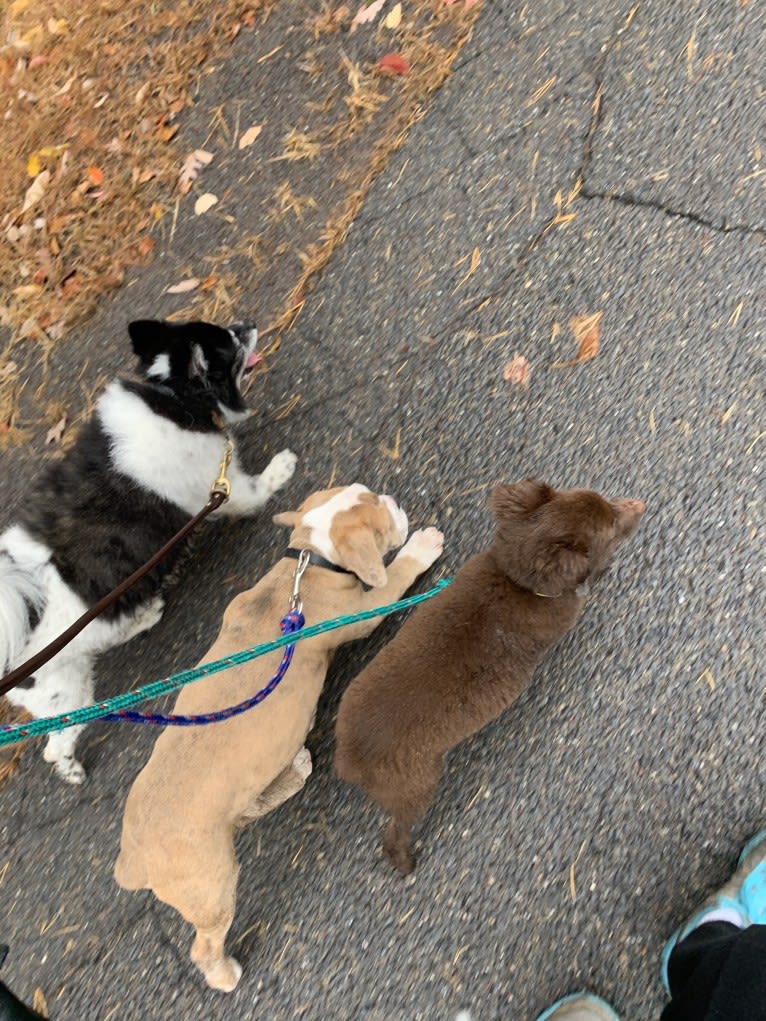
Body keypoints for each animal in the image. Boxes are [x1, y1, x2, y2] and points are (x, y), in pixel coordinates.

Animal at [0, 318, 298, 780]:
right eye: (228, 343)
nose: (247, 324)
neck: (171, 398)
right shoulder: (220, 486)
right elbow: (254, 491)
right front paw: (280, 470)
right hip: (66, 694)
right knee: (56, 743)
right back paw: (70, 768)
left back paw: (146, 615)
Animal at [116, 481, 447, 992]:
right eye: (378, 517)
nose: (393, 500)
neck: (309, 561)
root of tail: (133, 858)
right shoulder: (366, 608)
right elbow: (398, 574)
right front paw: (422, 546)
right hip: (211, 884)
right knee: (204, 945)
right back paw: (225, 976)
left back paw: (297, 768)